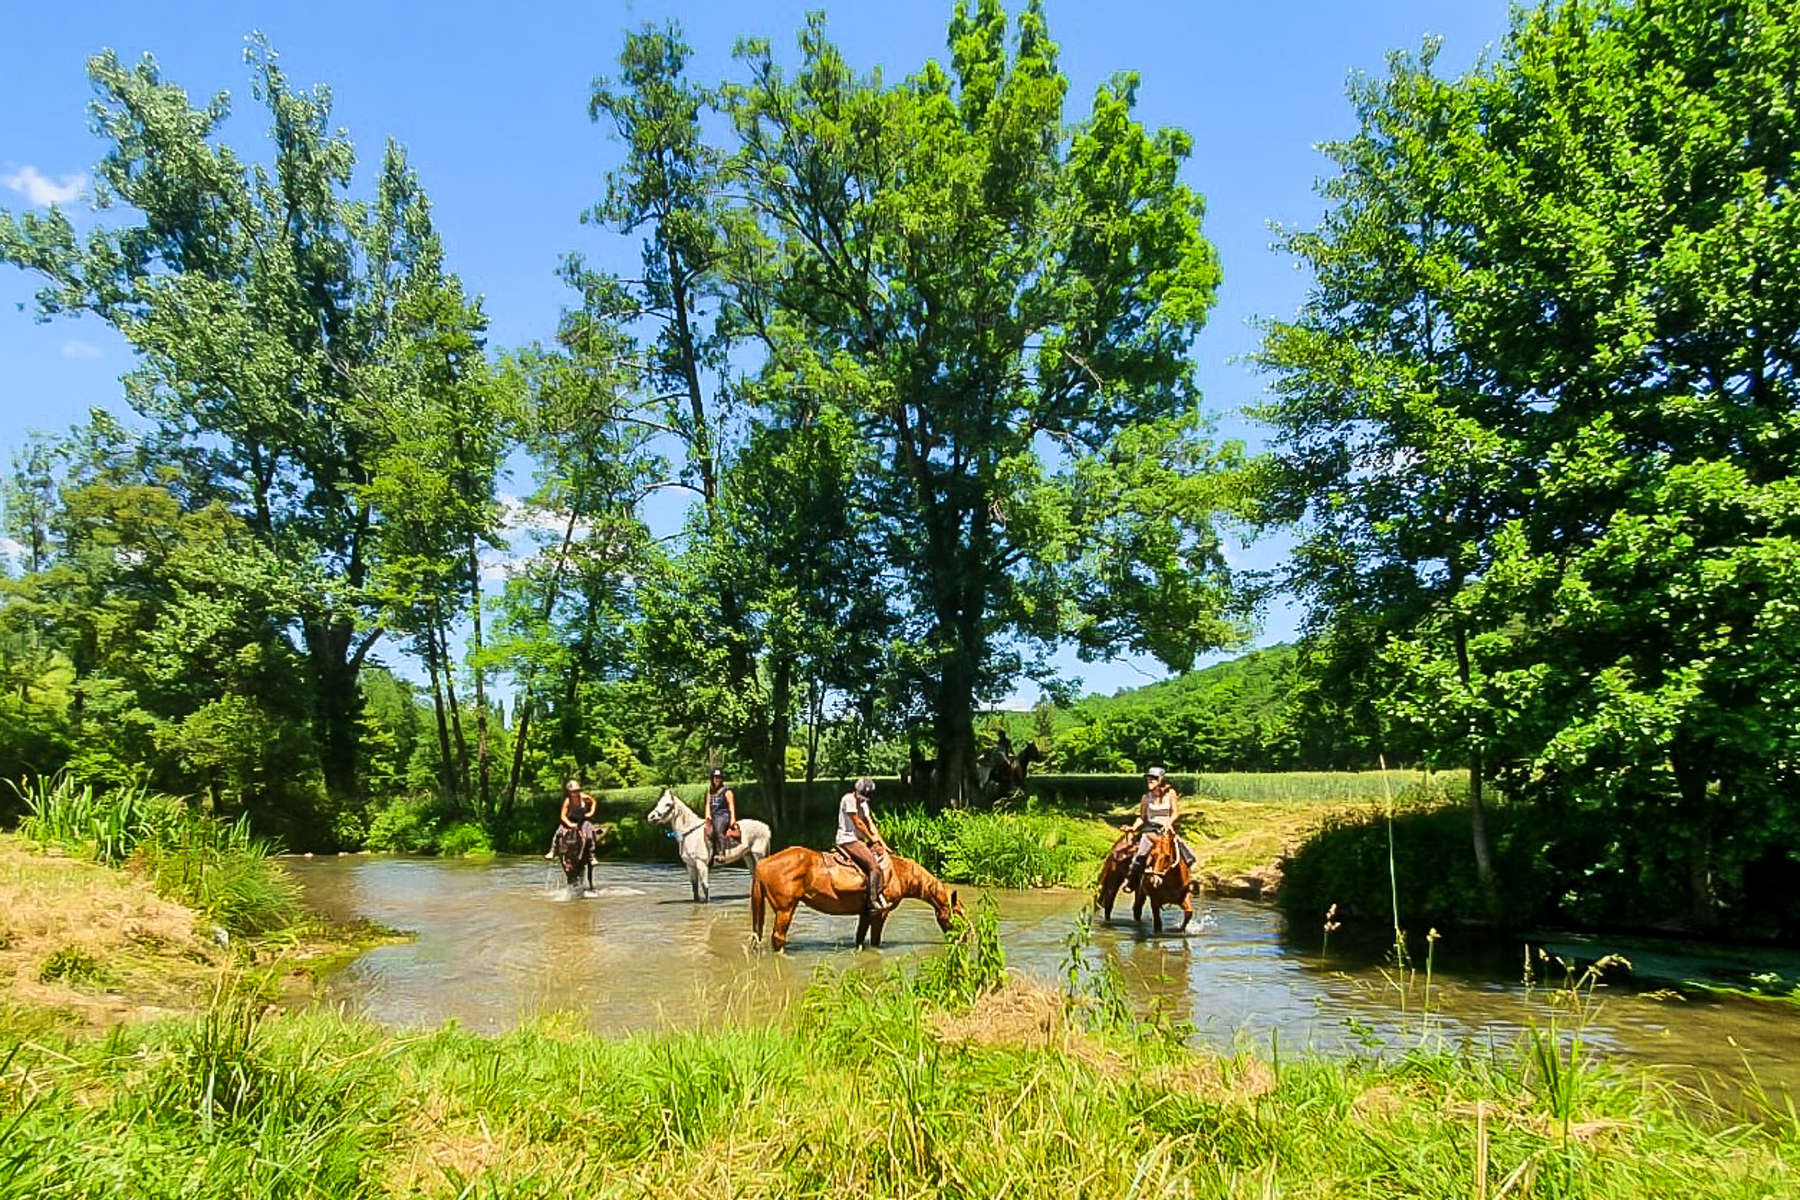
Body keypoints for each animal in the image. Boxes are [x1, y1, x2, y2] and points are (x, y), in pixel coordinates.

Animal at [748, 849, 964, 949]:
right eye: (959, 912)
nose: (965, 936)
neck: (899, 874)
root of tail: (763, 864)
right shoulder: (880, 914)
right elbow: (875, 940)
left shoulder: (865, 913)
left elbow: (860, 937)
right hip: (785, 909)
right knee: (778, 938)